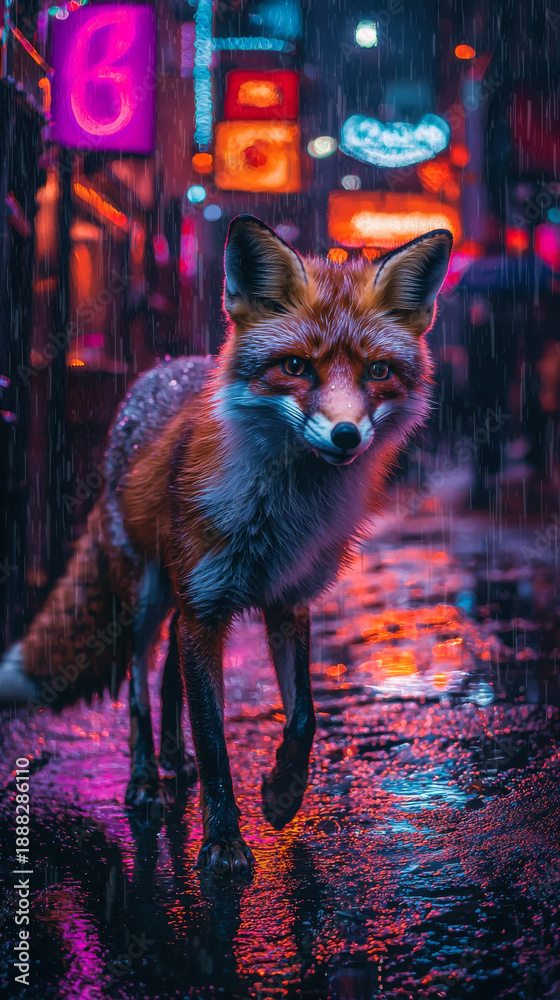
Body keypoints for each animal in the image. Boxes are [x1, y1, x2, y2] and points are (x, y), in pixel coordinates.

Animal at [0, 215, 452, 875]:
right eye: (296, 366)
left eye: (378, 372)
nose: (346, 435)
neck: (281, 515)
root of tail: (164, 368)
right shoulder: (207, 605)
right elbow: (215, 737)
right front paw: (222, 842)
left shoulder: (287, 598)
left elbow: (304, 716)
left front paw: (283, 796)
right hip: (148, 594)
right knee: (138, 683)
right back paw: (144, 779)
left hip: (180, 596)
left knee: (167, 672)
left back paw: (171, 759)